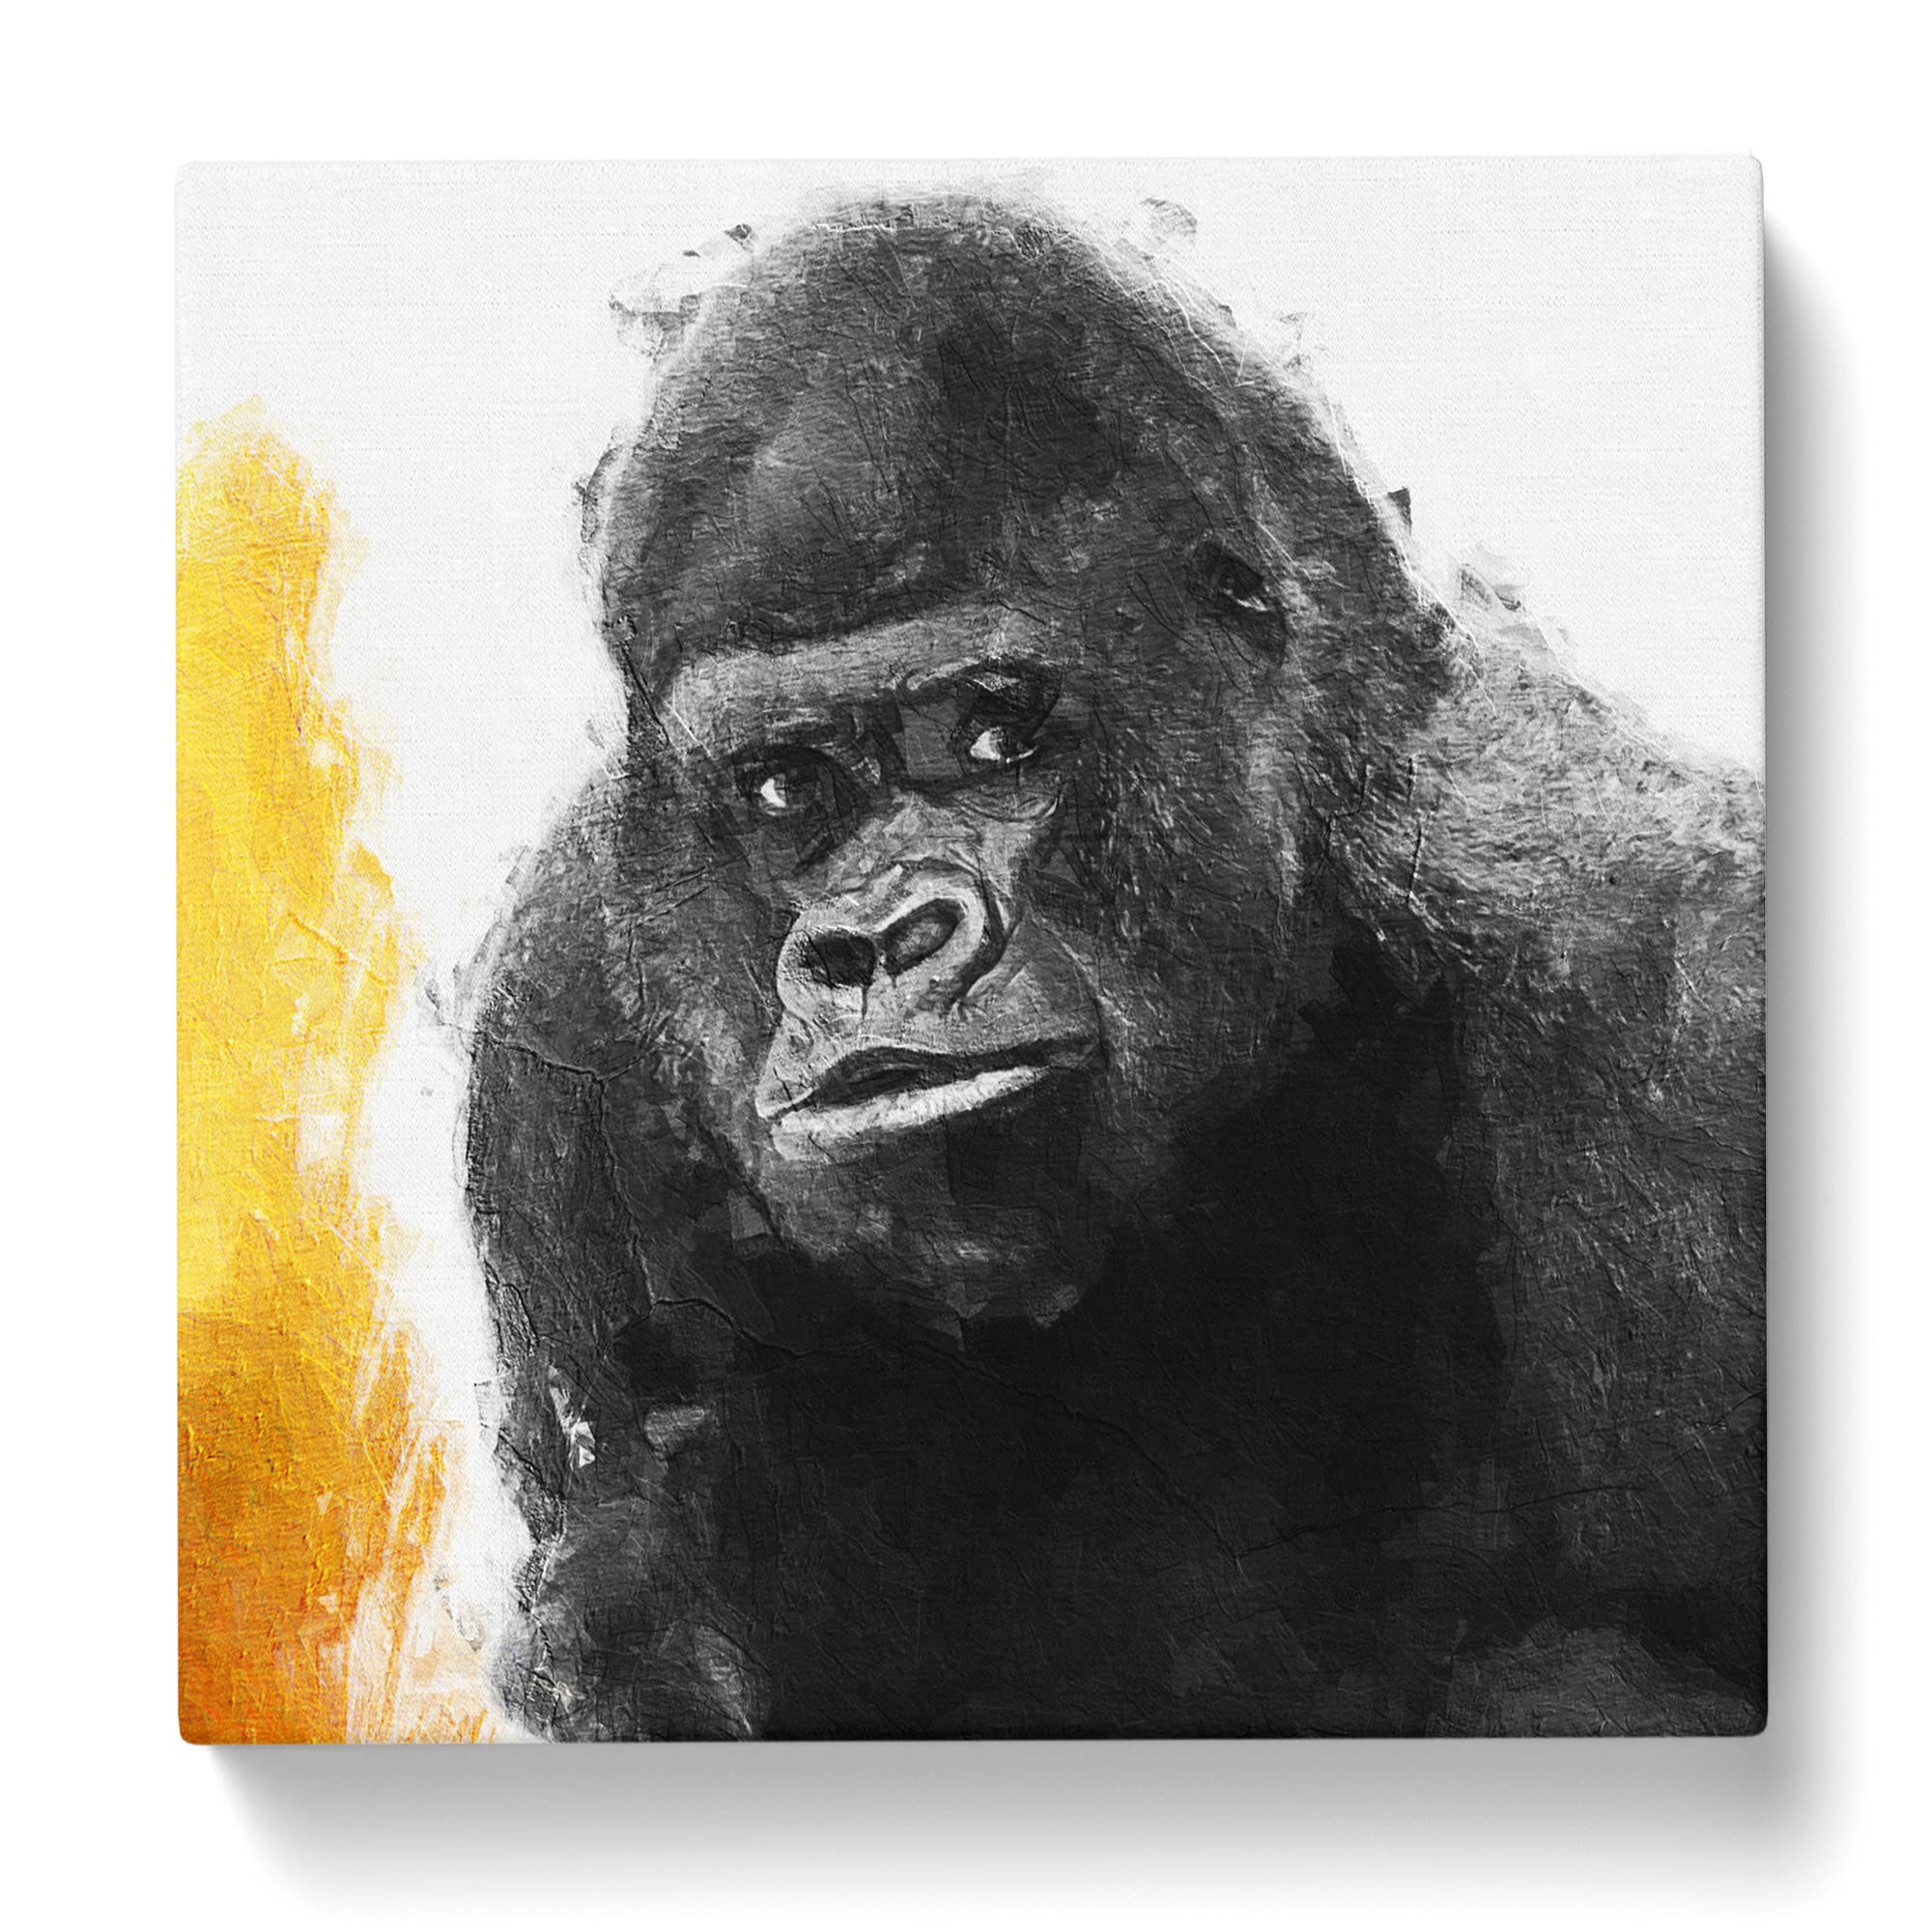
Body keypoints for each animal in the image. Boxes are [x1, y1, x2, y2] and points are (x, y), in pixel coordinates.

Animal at [465, 195, 1765, 1739]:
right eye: (786, 788)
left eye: (996, 731)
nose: (873, 945)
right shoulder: (557, 1019)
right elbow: (640, 1610)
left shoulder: (1669, 1000)